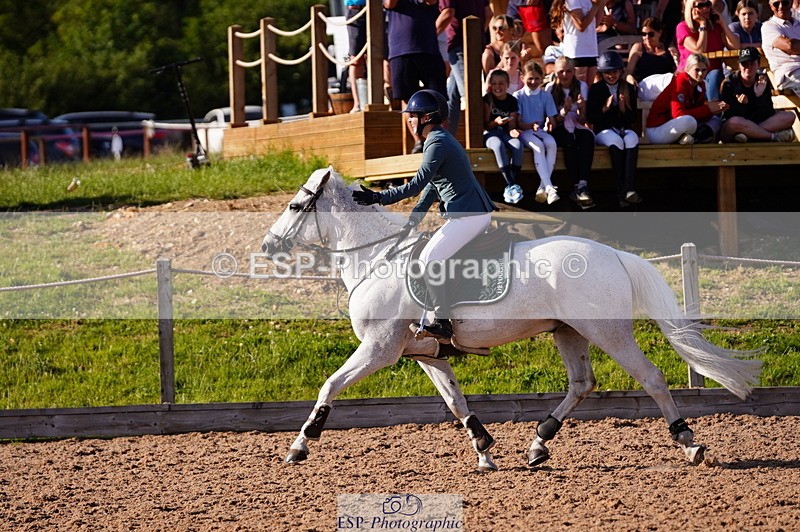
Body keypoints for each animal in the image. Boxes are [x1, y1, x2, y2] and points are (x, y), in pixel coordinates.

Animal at [261, 166, 761, 471]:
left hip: (608, 332)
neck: (377, 258)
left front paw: (301, 443)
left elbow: (329, 385)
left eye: (294, 206)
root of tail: (616, 255)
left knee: (652, 378)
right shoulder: (425, 352)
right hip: (569, 333)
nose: (268, 246)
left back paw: (690, 442)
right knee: (582, 383)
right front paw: (484, 451)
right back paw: (539, 443)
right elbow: (455, 401)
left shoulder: (378, 349)